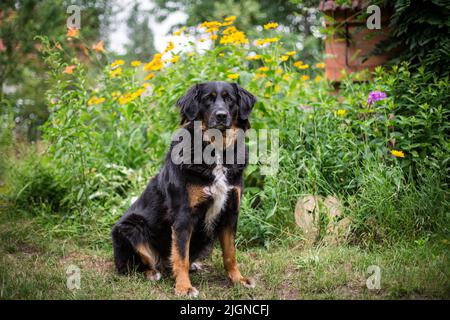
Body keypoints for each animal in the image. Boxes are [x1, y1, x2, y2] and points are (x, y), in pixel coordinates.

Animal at [111, 81, 256, 296]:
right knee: (135, 265)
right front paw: (184, 287)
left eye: (229, 99)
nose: (221, 115)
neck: (215, 151)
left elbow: (230, 254)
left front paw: (237, 279)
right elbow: (180, 256)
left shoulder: (230, 211)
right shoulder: (183, 215)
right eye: (208, 99)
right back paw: (152, 273)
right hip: (130, 227)